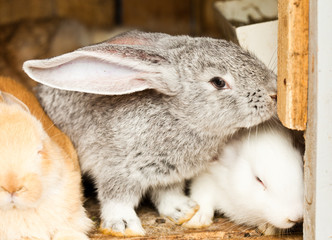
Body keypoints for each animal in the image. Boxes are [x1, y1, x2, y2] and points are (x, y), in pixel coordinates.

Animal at [23, 30, 276, 236]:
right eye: (218, 82)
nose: (274, 93)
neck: (178, 116)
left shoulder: (168, 177)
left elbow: (168, 195)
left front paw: (184, 210)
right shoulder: (116, 170)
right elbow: (117, 199)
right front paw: (123, 227)